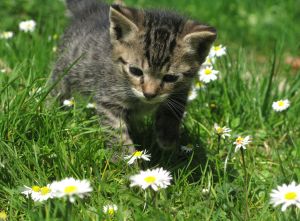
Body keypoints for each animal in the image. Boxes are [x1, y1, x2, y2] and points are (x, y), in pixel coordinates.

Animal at [50, 0, 217, 154]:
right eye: (135, 71)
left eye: (170, 78)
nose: (149, 94)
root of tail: (90, 10)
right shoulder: (109, 99)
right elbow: (117, 133)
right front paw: (126, 161)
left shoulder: (181, 90)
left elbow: (174, 110)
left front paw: (167, 137)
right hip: (63, 71)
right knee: (54, 89)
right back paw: (49, 111)